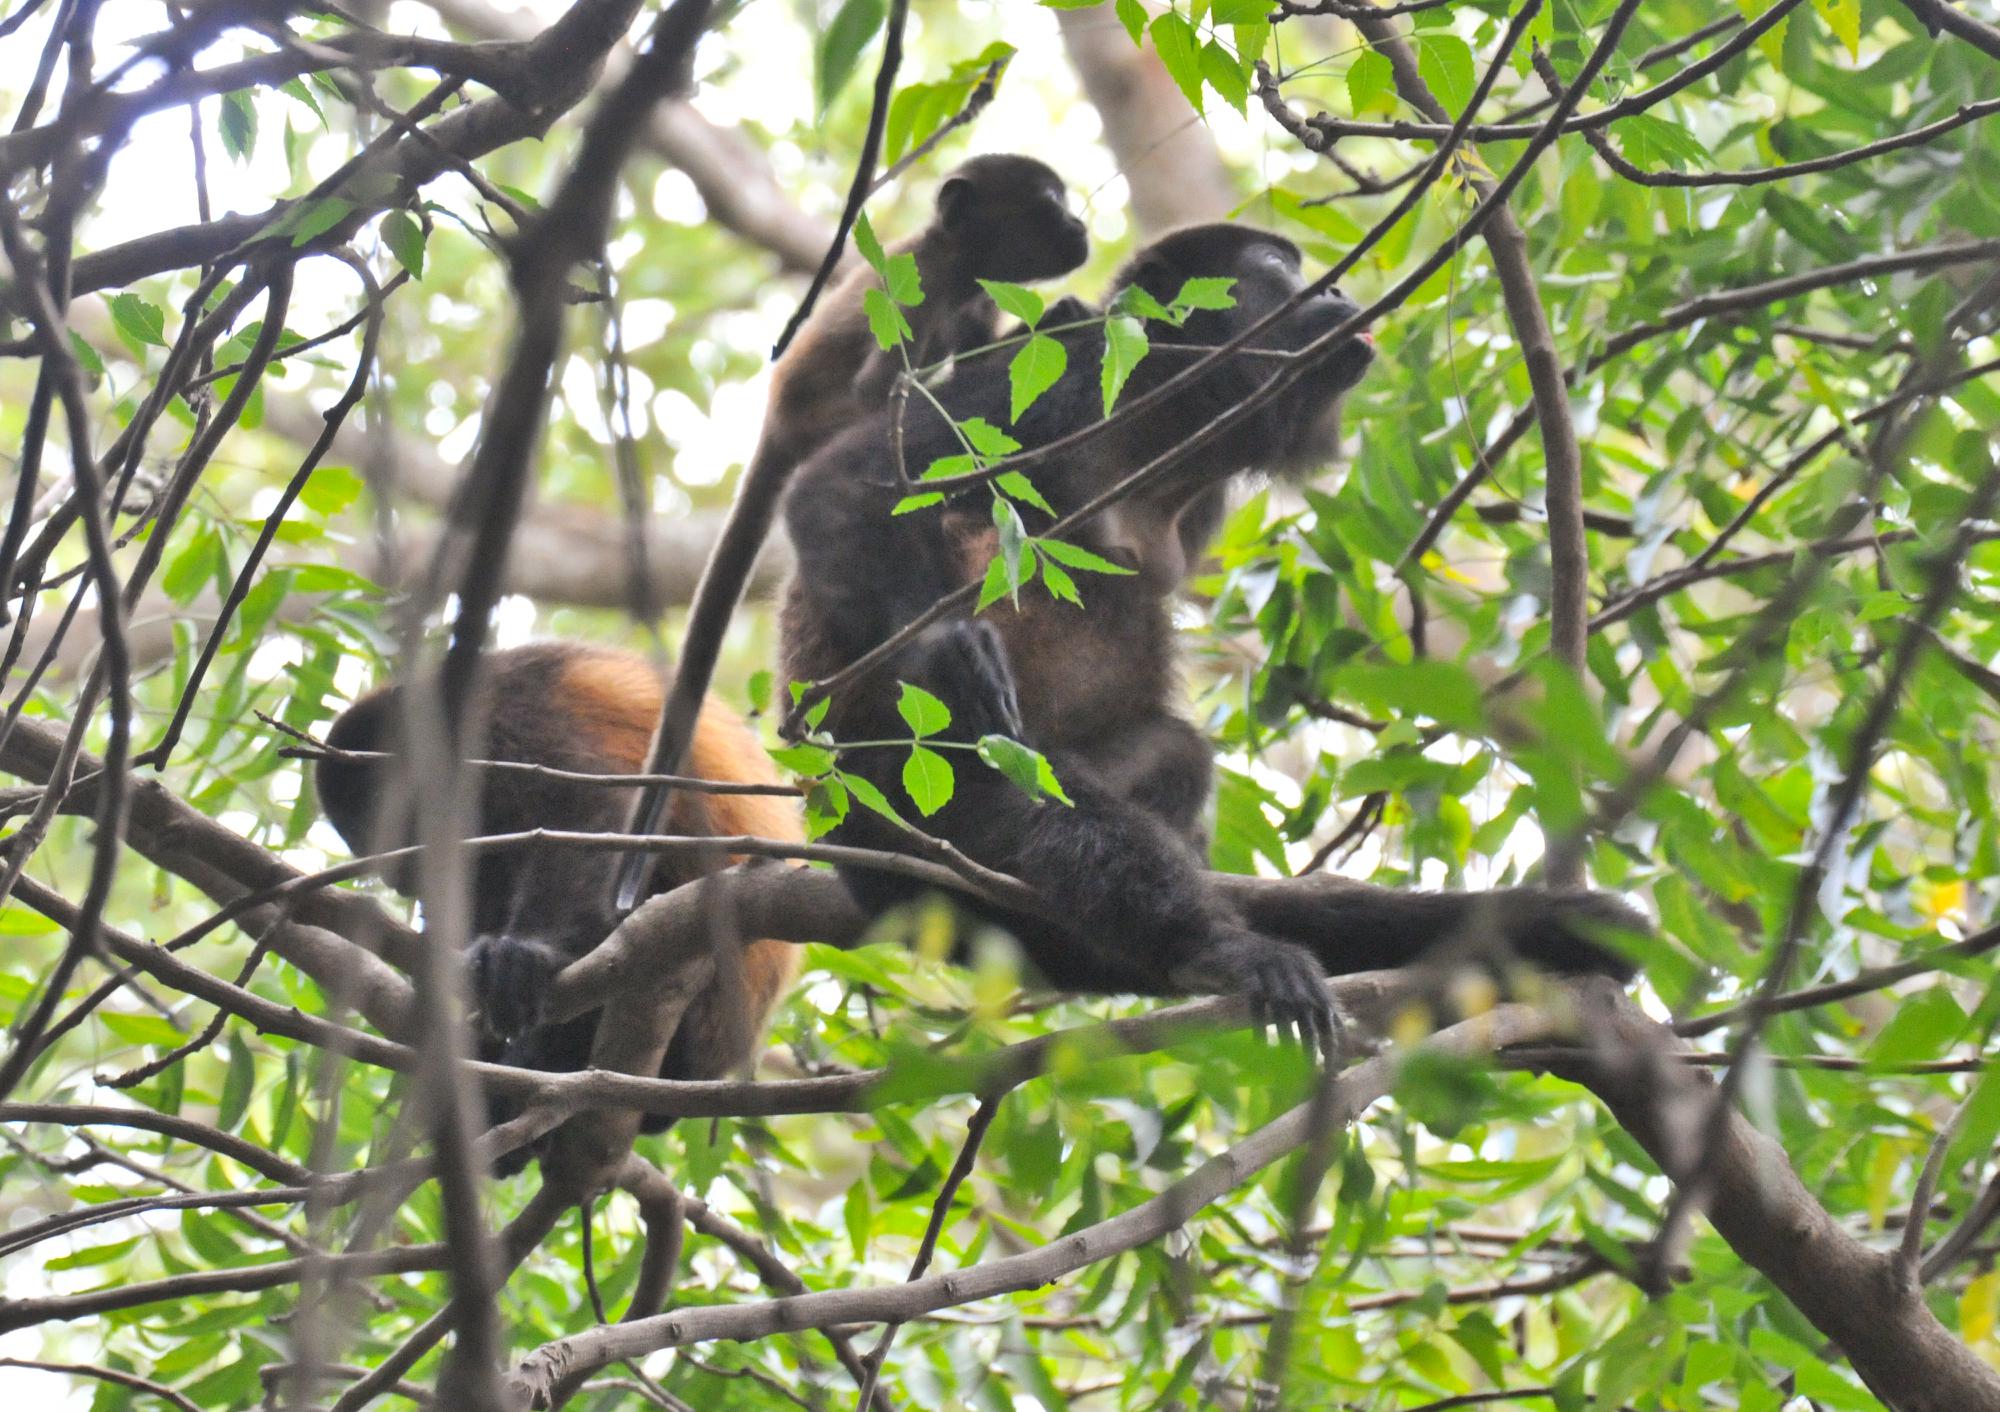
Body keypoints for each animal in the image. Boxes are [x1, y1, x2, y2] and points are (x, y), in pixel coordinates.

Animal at [316, 640, 800, 1152]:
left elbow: (581, 811)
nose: (393, 875)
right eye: (360, 839)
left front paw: (526, 954)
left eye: (377, 819)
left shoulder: (515, 722)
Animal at [616, 154, 1096, 904]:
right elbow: (883, 392)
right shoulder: (921, 288)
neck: (961, 267)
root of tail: (777, 419)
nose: (1080, 226)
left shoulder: (976, 304)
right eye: (1051, 203)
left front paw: (1059, 318)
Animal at [776, 220, 1640, 1032]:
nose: (1339, 291)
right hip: (900, 785)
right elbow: (843, 483)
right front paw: (948, 648)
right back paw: (1217, 946)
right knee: (1015, 780)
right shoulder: (1065, 384)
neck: (1164, 426)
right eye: (1277, 268)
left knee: (1175, 752)